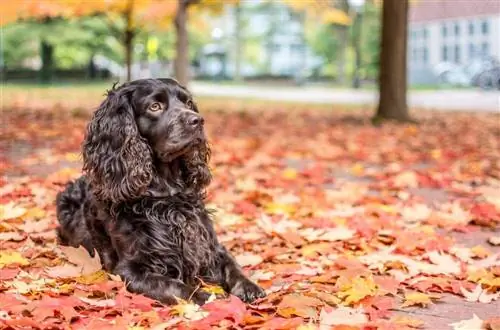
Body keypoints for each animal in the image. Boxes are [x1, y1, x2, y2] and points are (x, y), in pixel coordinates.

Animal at [55, 77, 266, 304]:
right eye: (155, 106)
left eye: (188, 103)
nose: (198, 121)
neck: (167, 195)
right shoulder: (130, 270)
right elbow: (175, 286)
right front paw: (208, 296)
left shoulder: (210, 247)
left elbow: (232, 265)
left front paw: (249, 286)